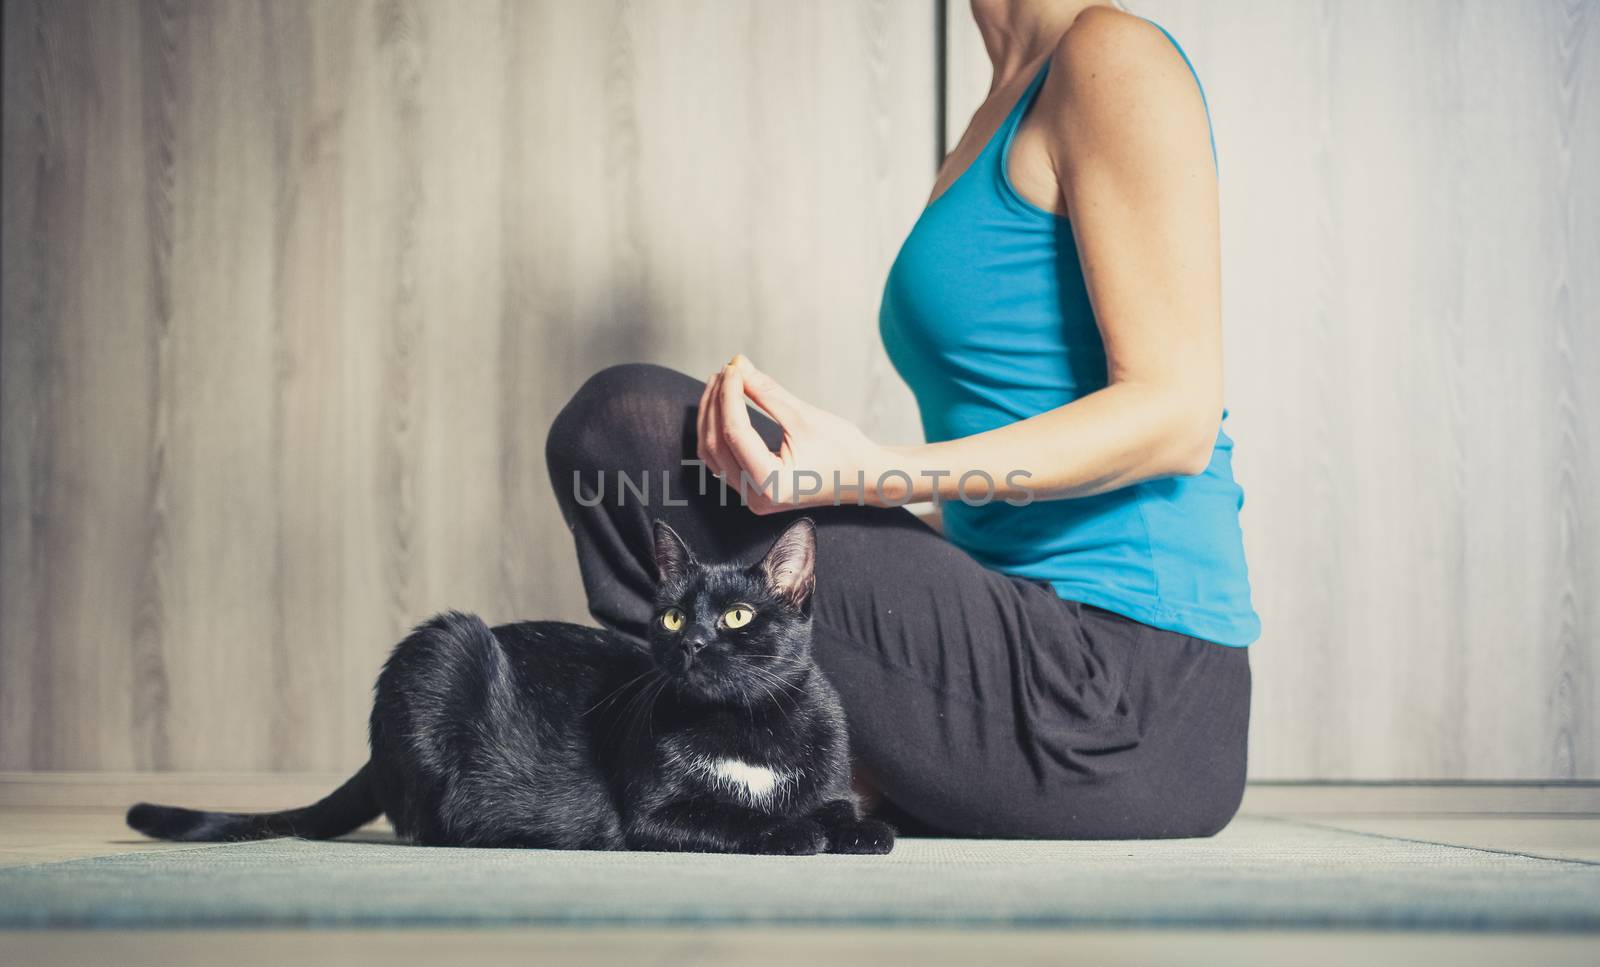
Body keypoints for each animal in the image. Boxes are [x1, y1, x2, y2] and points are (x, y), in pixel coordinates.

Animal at [128, 518, 889, 858]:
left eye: (736, 616)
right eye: (673, 616)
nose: (692, 642)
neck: (747, 725)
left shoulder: (830, 777)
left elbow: (848, 812)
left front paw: (857, 829)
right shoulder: (652, 815)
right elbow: (737, 820)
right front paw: (793, 832)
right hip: (439, 651)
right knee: (433, 824)